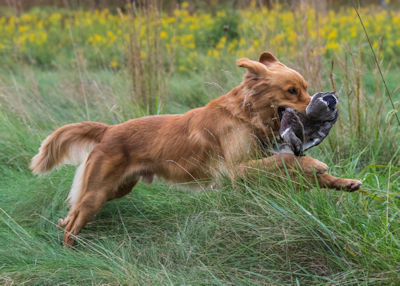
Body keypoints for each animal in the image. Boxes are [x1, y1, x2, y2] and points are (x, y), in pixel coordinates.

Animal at [31, 52, 362, 247]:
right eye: (292, 91)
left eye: (305, 89)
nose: (327, 101)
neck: (244, 115)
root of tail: (109, 130)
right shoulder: (237, 171)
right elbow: (289, 161)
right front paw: (316, 164)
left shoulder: (255, 170)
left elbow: (296, 167)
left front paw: (344, 182)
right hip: (98, 194)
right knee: (73, 223)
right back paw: (70, 249)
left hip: (116, 188)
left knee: (73, 211)